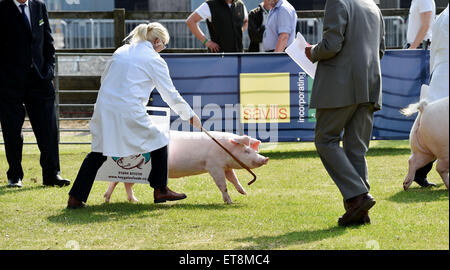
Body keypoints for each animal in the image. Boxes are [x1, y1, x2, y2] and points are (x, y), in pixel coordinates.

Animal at [103, 131, 268, 205]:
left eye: (253, 150)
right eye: (246, 151)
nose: (265, 159)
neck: (224, 149)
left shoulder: (225, 166)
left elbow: (234, 179)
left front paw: (244, 192)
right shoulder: (213, 165)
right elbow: (223, 185)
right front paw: (229, 202)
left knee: (127, 184)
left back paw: (135, 200)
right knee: (116, 181)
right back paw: (107, 199)